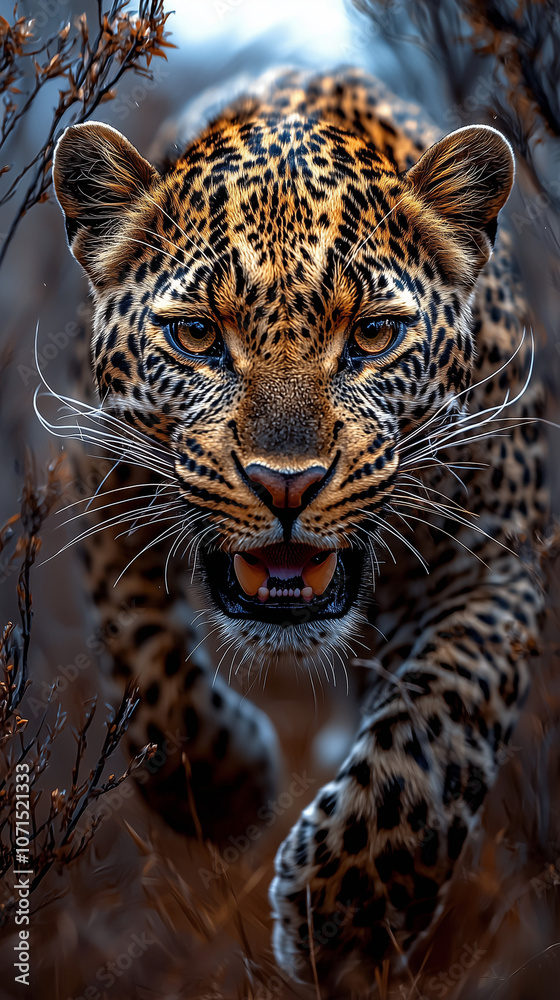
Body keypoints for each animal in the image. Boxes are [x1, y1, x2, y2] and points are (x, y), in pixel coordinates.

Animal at [50, 67, 550, 991]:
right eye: (197, 335)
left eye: (375, 335)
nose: (287, 483)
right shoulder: (106, 497)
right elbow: (150, 670)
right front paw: (227, 793)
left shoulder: (497, 565)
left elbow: (442, 723)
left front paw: (349, 916)